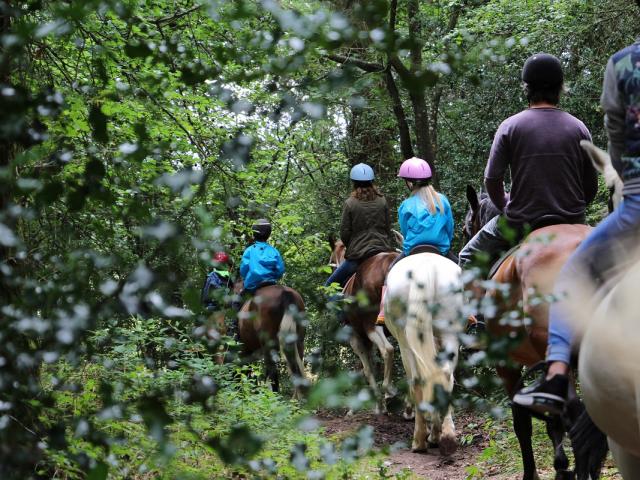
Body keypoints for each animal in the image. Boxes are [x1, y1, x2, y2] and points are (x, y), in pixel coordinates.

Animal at [330, 239, 400, 412]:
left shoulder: (355, 337)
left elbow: (367, 369)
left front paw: (378, 404)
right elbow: (372, 366)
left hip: (371, 326)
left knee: (388, 350)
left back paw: (389, 391)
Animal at [382, 253, 462, 456]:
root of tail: (426, 264)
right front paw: (435, 432)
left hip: (404, 340)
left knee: (418, 380)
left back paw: (419, 440)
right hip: (450, 333)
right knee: (445, 374)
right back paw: (446, 436)